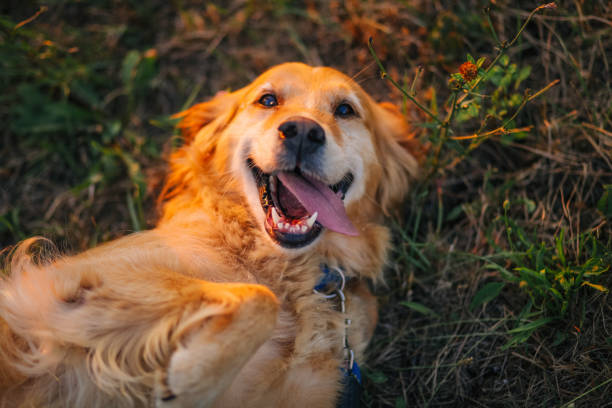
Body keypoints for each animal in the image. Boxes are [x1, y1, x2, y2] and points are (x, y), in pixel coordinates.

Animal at [0, 62, 420, 406]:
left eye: (345, 110)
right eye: (267, 100)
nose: (302, 131)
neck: (290, 270)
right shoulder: (72, 280)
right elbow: (259, 298)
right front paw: (192, 378)